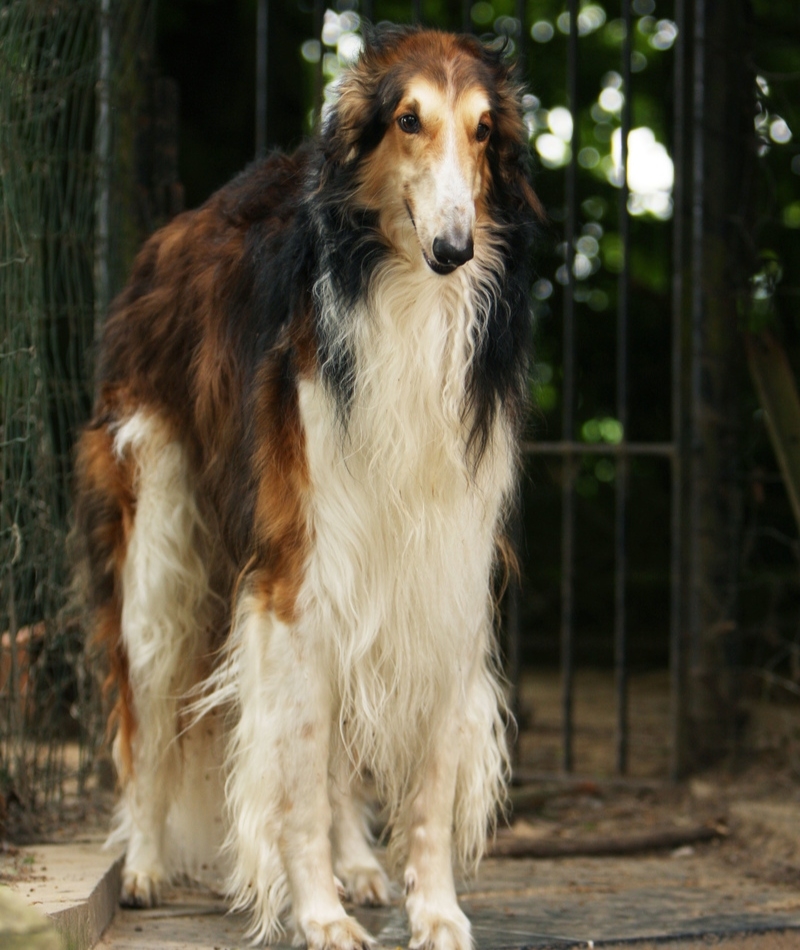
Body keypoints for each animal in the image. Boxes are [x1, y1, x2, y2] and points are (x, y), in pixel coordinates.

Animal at [73, 24, 536, 950]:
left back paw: (358, 862)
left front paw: (435, 910)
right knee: (144, 721)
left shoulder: (444, 571)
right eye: (407, 119)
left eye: (483, 131)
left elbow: (422, 783)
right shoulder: (293, 575)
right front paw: (316, 913)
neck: (405, 302)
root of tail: (175, 227)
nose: (454, 250)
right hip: (158, 556)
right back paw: (142, 861)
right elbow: (292, 774)